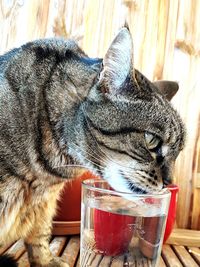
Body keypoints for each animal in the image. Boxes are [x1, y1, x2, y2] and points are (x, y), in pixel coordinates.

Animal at [0, 28, 184, 266]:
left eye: (178, 152)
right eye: (151, 139)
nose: (170, 181)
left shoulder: (44, 204)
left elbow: (40, 233)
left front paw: (46, 260)